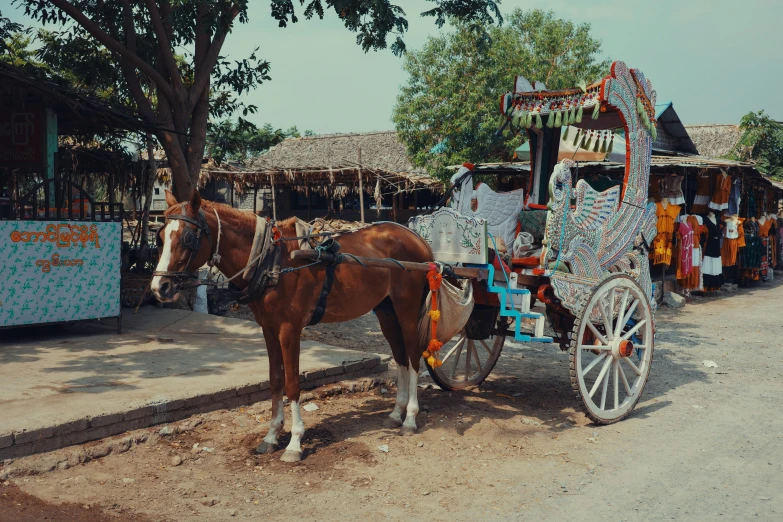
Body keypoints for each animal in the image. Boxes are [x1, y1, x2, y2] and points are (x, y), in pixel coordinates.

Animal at [153, 190, 434, 460]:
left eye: (188, 237)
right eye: (161, 237)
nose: (159, 287)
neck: (272, 262)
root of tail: (417, 239)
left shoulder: (290, 329)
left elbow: (292, 383)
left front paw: (294, 443)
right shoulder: (268, 328)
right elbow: (276, 379)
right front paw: (271, 435)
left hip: (407, 310)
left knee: (413, 357)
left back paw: (410, 417)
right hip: (386, 312)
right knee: (400, 357)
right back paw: (396, 413)